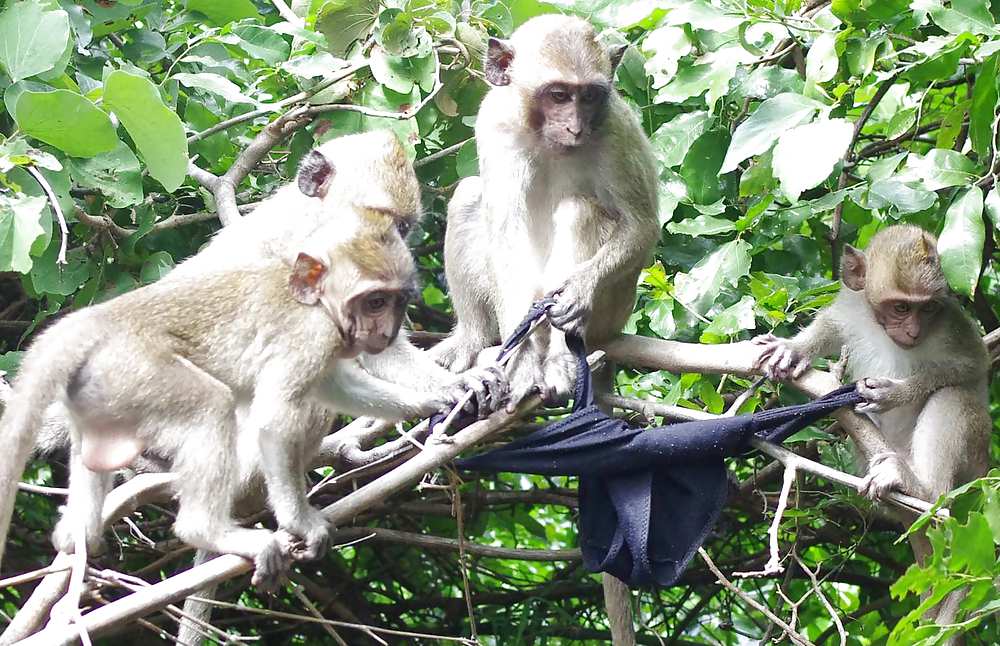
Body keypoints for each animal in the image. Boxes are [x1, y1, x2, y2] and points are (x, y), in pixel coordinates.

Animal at [0, 209, 485, 588]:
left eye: (396, 303)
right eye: (374, 302)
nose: (383, 332)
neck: (317, 302)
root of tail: (98, 320)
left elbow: (335, 386)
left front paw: (436, 399)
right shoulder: (311, 335)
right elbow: (275, 419)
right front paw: (299, 521)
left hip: (102, 388)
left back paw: (76, 537)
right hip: (137, 369)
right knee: (209, 406)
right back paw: (208, 529)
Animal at [430, 15, 660, 406]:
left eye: (589, 96)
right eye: (558, 95)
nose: (575, 126)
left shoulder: (616, 128)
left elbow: (641, 225)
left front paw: (579, 291)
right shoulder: (494, 123)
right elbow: (505, 232)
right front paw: (520, 362)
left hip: (614, 310)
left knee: (580, 209)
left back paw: (559, 357)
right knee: (469, 196)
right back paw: (474, 340)